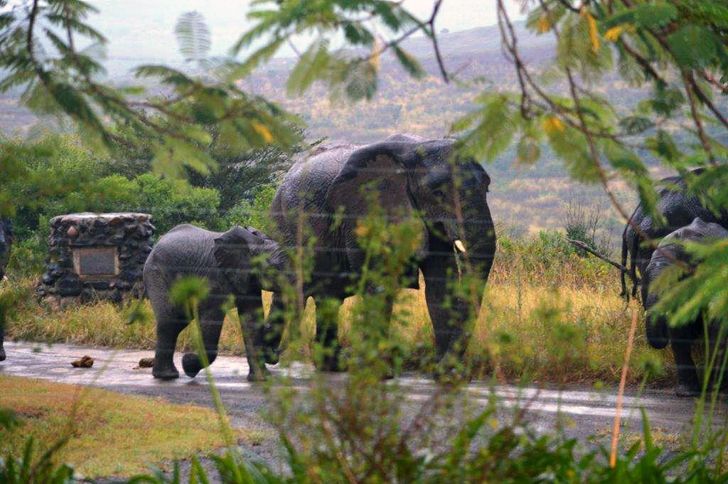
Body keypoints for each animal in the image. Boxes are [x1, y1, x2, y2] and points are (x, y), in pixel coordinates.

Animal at [143, 224, 288, 382]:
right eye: (274, 269)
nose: (275, 355)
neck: (254, 244)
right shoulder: (214, 278)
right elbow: (211, 315)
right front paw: (188, 364)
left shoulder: (247, 277)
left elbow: (251, 319)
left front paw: (261, 380)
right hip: (157, 273)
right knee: (170, 319)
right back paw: (167, 376)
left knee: (179, 320)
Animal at [264, 133, 498, 374]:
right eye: (438, 193)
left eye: (486, 188)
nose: (439, 368)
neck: (415, 149)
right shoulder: (366, 212)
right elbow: (379, 285)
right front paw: (379, 371)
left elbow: (440, 286)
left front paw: (441, 371)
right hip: (286, 223)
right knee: (292, 286)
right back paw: (272, 355)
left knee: (327, 295)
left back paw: (332, 365)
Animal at [644, 218, 728, 398]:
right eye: (646, 274)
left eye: (679, 276)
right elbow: (679, 329)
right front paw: (687, 393)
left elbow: (718, 323)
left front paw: (715, 392)